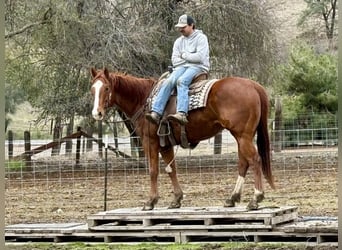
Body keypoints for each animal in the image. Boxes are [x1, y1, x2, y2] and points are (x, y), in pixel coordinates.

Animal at [89, 67, 274, 210]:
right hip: (242, 136)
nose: (97, 113)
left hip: (243, 135)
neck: (144, 100)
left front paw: (150, 201)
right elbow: (172, 170)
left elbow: (153, 170)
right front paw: (176, 199)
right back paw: (232, 198)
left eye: (106, 88)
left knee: (255, 159)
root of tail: (253, 85)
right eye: (92, 89)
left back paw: (256, 198)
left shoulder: (150, 141)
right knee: (243, 163)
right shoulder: (165, 144)